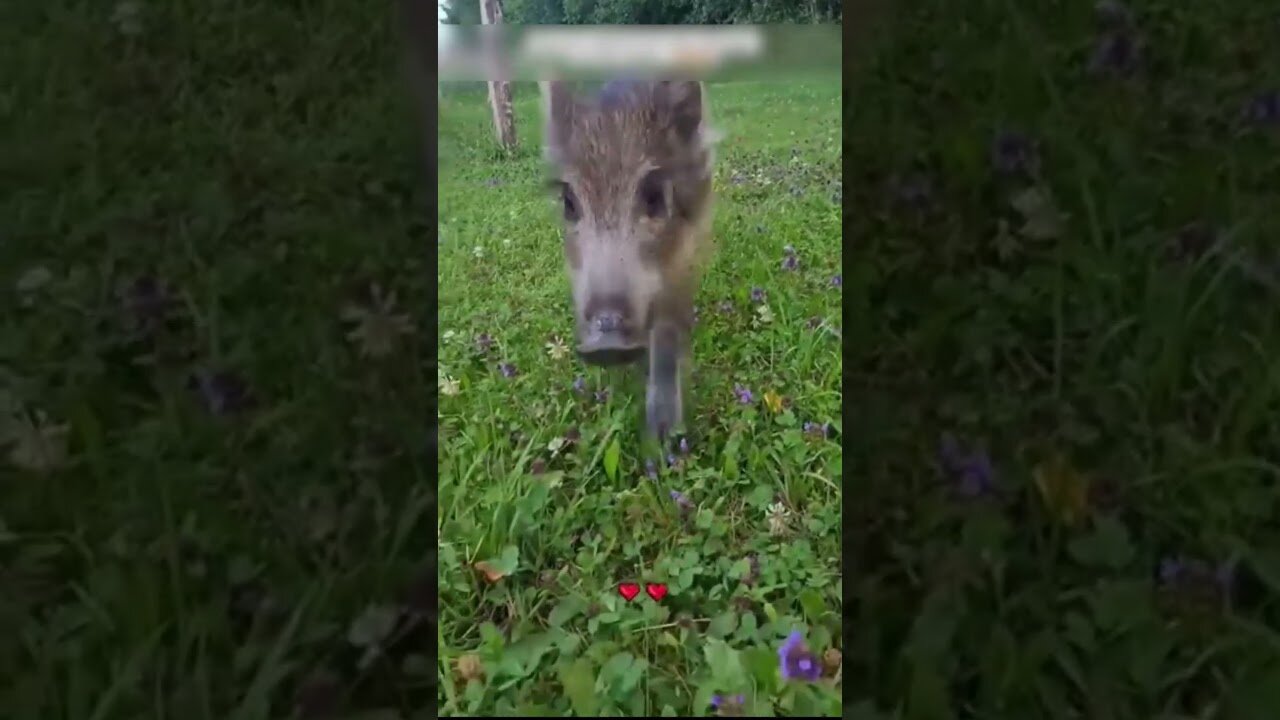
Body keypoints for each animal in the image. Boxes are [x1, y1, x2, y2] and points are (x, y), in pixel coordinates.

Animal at [539, 79, 717, 440]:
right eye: (569, 202)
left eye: (654, 196)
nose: (606, 339)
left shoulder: (682, 264)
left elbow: (666, 333)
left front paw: (663, 436)